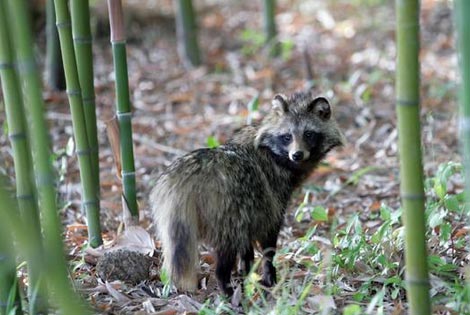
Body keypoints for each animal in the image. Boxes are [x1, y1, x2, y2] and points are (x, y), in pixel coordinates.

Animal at [152, 91, 344, 296]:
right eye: (287, 136)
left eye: (308, 134)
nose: (297, 155)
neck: (272, 152)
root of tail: (184, 177)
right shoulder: (271, 199)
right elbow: (268, 242)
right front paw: (269, 275)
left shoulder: (250, 207)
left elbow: (246, 248)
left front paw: (247, 271)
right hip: (224, 211)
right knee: (225, 255)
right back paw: (227, 288)